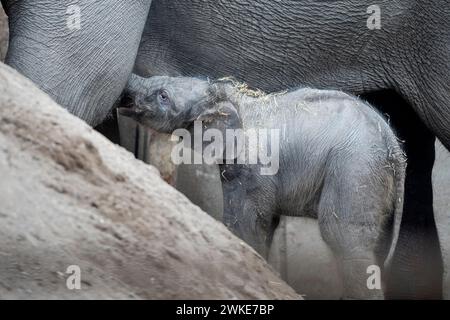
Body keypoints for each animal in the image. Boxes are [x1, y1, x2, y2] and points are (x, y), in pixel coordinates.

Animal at [121, 75, 406, 300]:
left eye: (163, 96)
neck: (230, 96)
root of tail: (395, 146)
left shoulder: (253, 169)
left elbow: (243, 223)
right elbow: (266, 224)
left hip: (354, 169)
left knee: (343, 237)